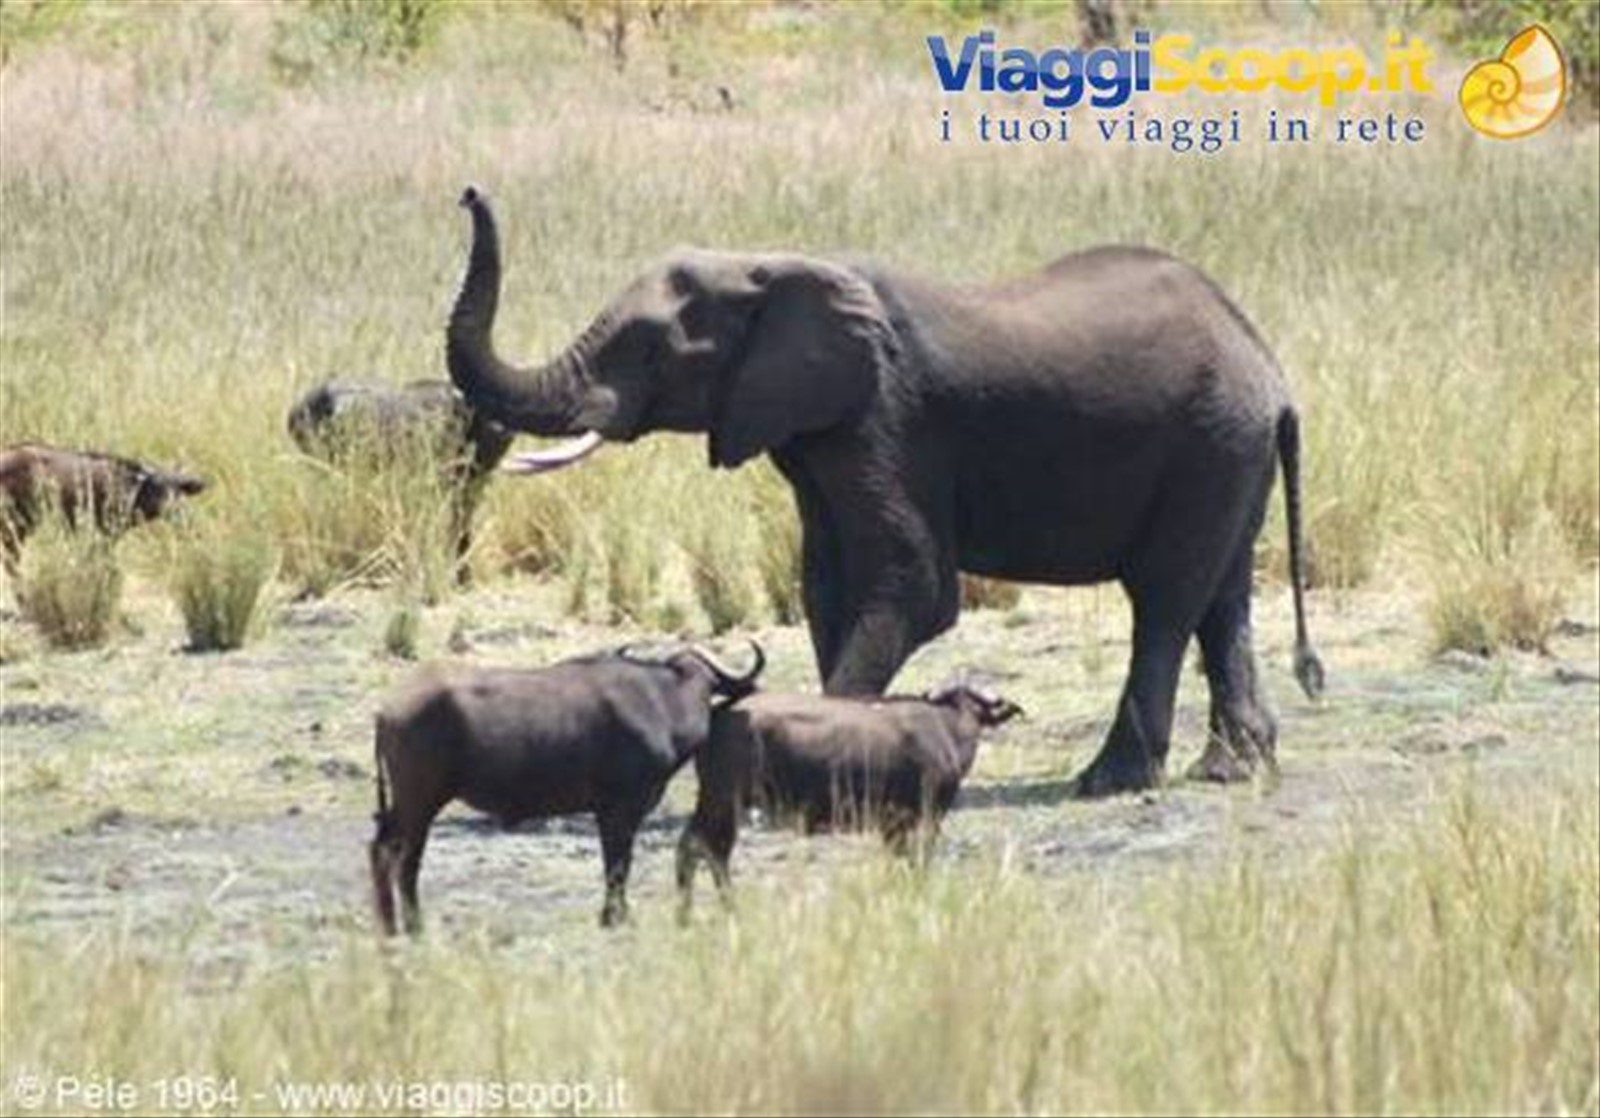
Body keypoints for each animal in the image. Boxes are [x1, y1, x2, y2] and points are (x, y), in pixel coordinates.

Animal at [442, 186, 1324, 796]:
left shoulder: (886, 419)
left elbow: (913, 586)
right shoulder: (814, 435)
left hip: (1209, 439)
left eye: (651, 348)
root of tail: (1268, 365)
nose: (468, 194)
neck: (771, 264)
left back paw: (1110, 781)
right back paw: (1230, 771)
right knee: (1221, 597)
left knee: (1166, 600)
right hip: (1227, 451)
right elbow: (827, 588)